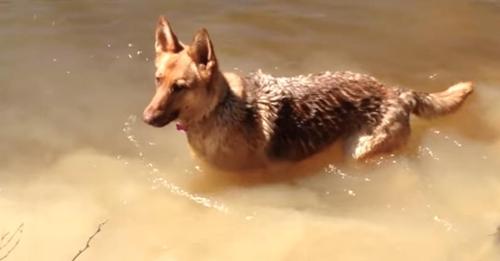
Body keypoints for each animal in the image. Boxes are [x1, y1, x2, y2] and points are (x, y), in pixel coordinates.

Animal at [144, 16, 472, 171]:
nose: (146, 118)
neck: (218, 108)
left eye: (180, 87)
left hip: (357, 151)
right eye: (158, 80)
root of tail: (396, 92)